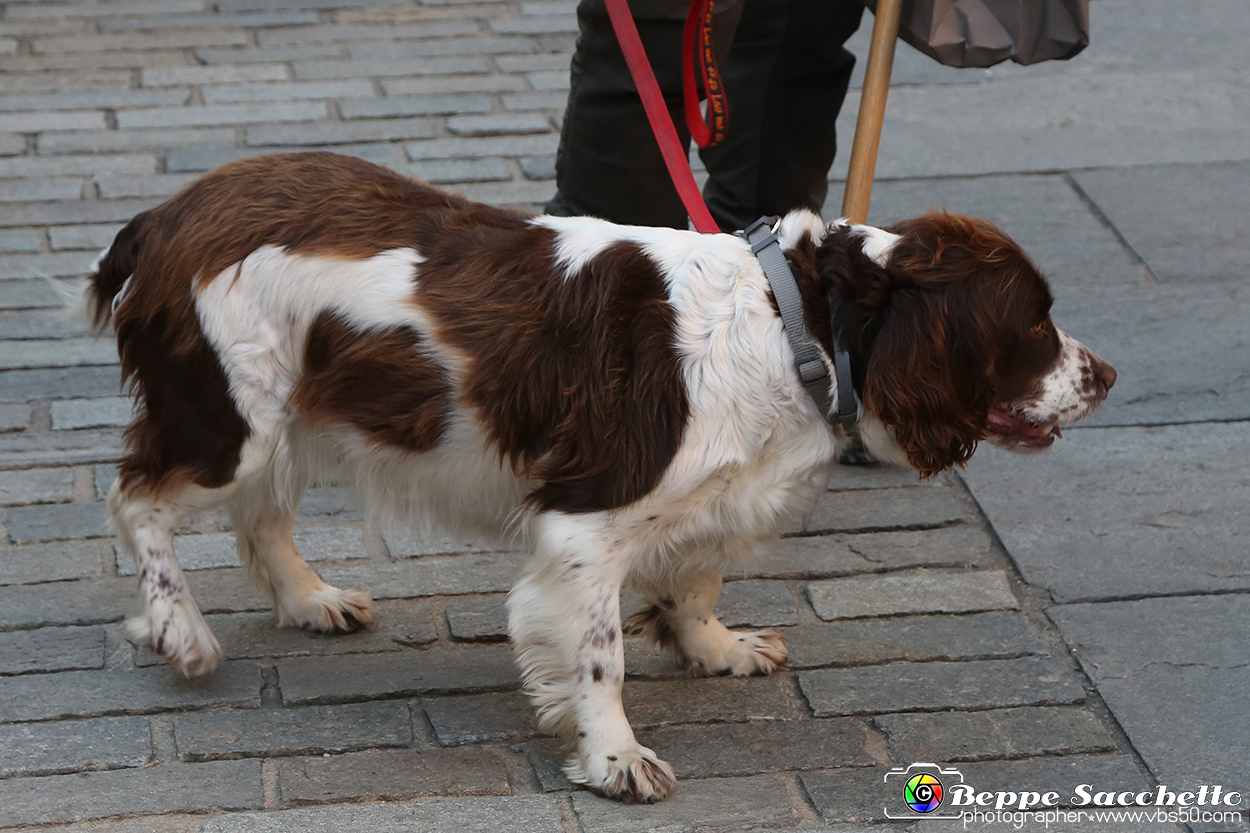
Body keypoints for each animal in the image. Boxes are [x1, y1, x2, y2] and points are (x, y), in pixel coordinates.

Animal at [92, 152, 1120, 800]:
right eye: (1034, 324)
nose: (1107, 375)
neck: (795, 322)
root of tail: (165, 217)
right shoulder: (586, 525)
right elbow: (598, 653)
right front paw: (616, 758)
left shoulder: (708, 496)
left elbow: (696, 580)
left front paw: (716, 649)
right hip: (230, 417)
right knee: (136, 496)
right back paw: (178, 629)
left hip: (288, 414)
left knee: (260, 516)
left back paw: (311, 599)